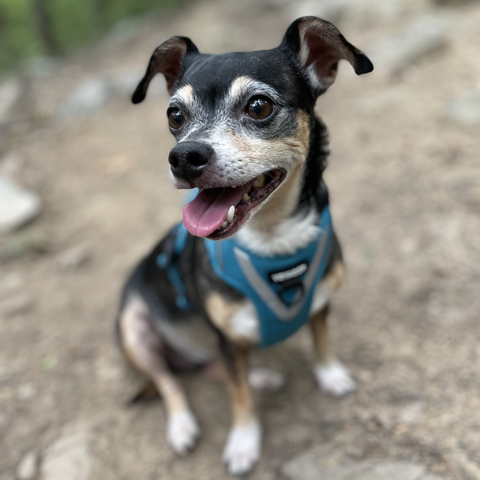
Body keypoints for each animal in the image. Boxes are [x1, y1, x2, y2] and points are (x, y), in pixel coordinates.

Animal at [117, 17, 376, 476]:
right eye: (174, 115)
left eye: (258, 106)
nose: (183, 156)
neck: (273, 242)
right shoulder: (221, 332)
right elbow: (239, 399)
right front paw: (242, 443)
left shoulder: (322, 303)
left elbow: (321, 341)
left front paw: (330, 375)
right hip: (134, 333)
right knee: (170, 381)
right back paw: (183, 425)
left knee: (215, 368)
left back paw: (260, 375)